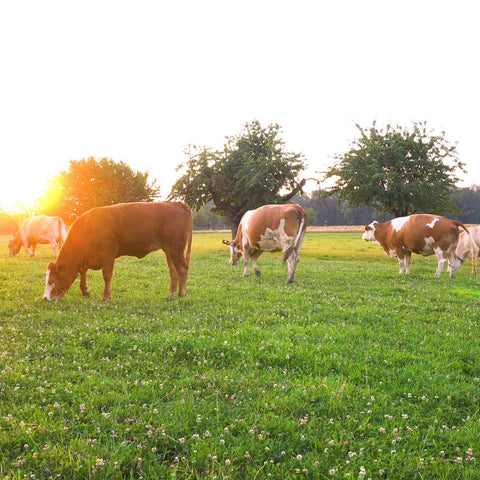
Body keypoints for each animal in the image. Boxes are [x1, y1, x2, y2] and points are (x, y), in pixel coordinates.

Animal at [43, 202, 192, 300]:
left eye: (51, 280)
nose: (45, 298)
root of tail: (176, 203)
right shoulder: (85, 259)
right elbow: (83, 272)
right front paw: (85, 291)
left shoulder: (108, 254)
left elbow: (107, 275)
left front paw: (105, 297)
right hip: (169, 250)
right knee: (174, 271)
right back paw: (172, 294)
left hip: (176, 248)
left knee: (182, 268)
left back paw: (182, 293)